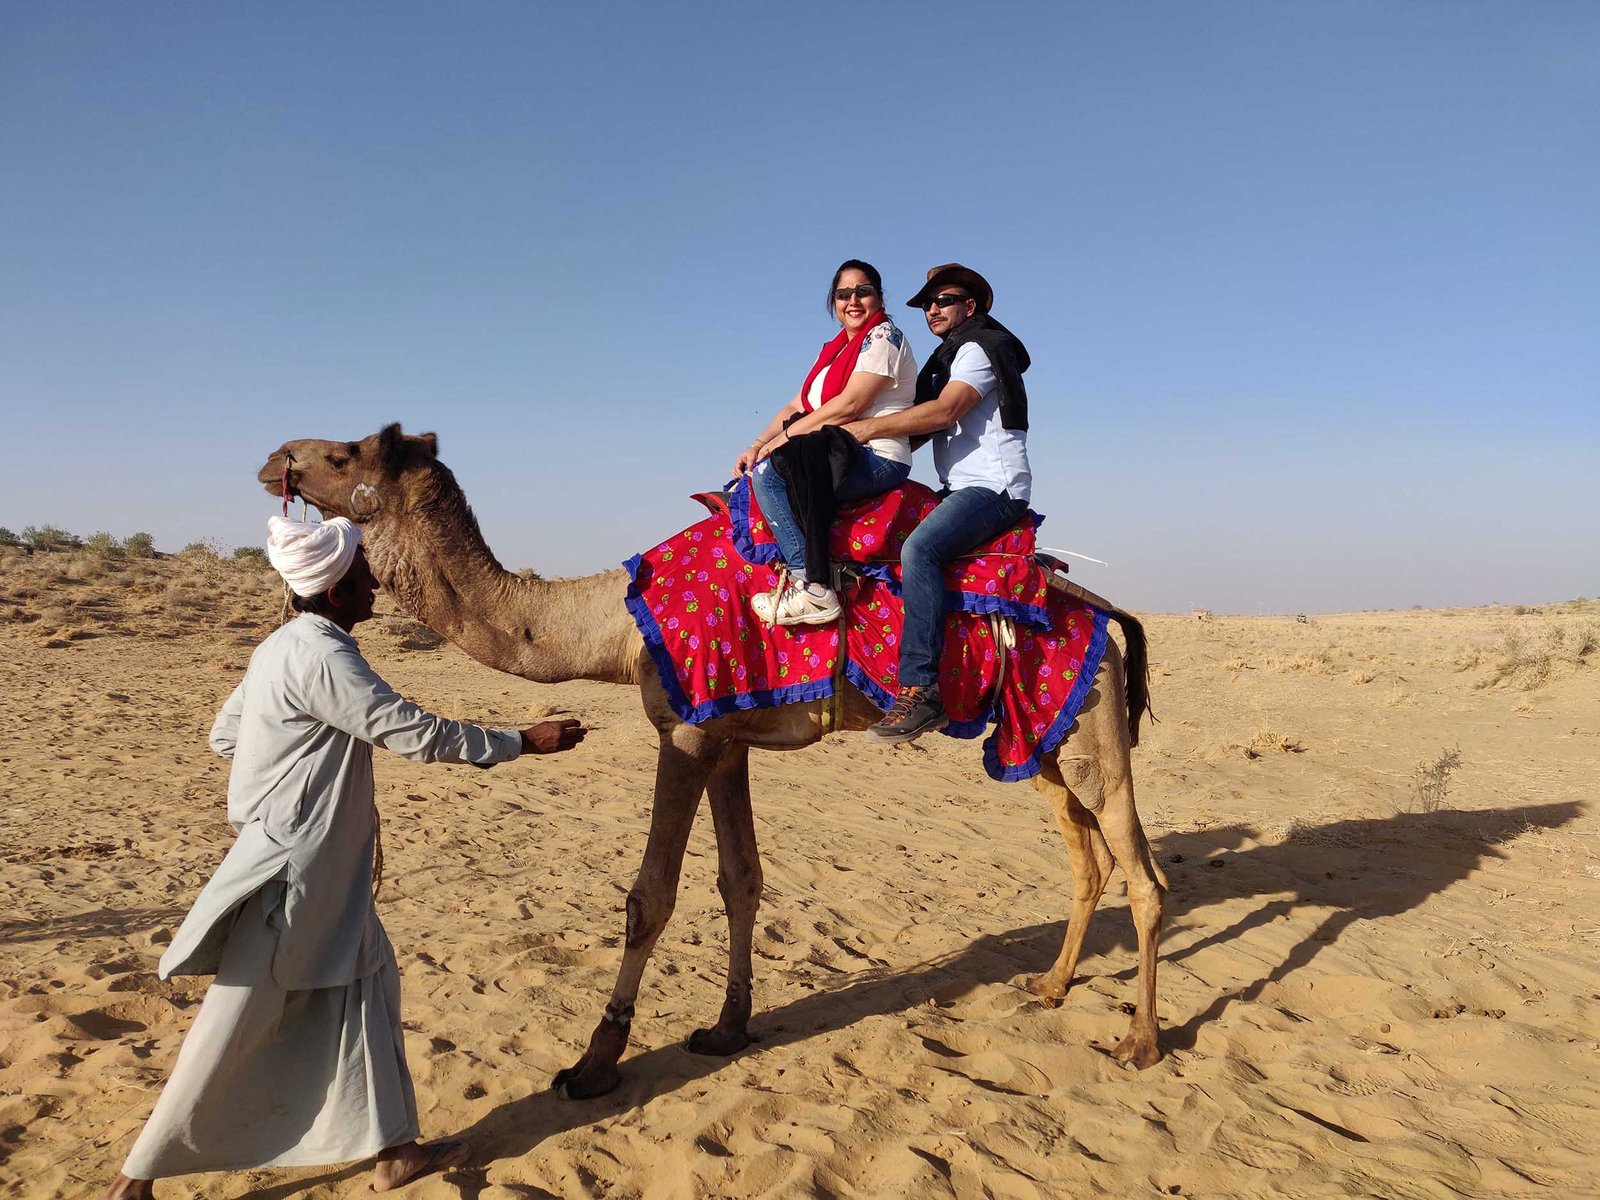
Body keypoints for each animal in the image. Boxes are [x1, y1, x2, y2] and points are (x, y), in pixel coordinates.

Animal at [256, 428, 1171, 1094]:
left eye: (343, 453)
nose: (275, 458)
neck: (613, 625)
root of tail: (1104, 611)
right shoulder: (727, 739)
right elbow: (741, 879)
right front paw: (728, 1028)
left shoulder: (686, 733)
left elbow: (651, 896)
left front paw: (594, 1062)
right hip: (1040, 733)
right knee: (1087, 855)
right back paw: (1051, 986)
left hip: (1090, 725)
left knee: (1143, 875)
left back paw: (1139, 1041)